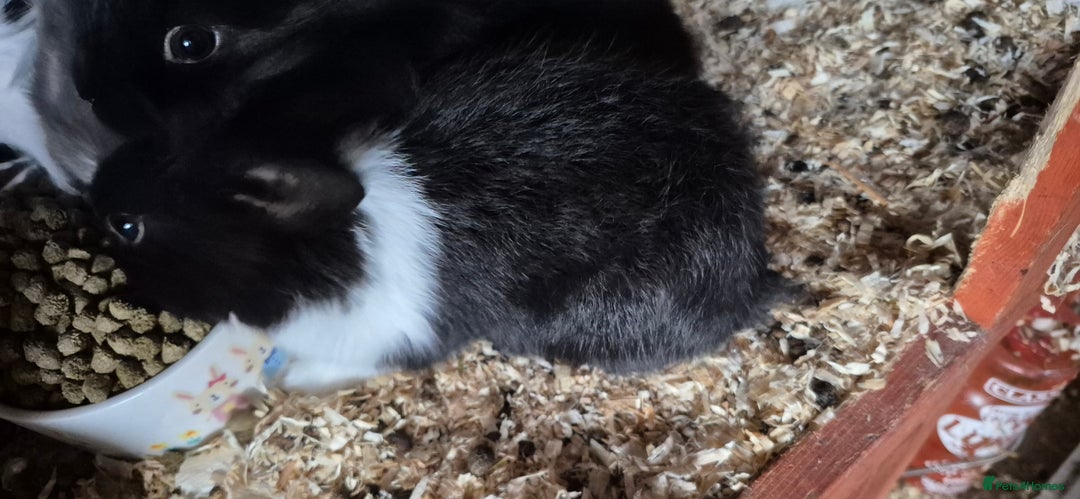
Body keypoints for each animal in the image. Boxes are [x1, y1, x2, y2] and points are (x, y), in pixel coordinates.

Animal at [87, 24, 788, 392]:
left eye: (128, 227)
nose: (94, 189)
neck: (329, 252)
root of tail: (755, 275)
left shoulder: (383, 341)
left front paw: (283, 381)